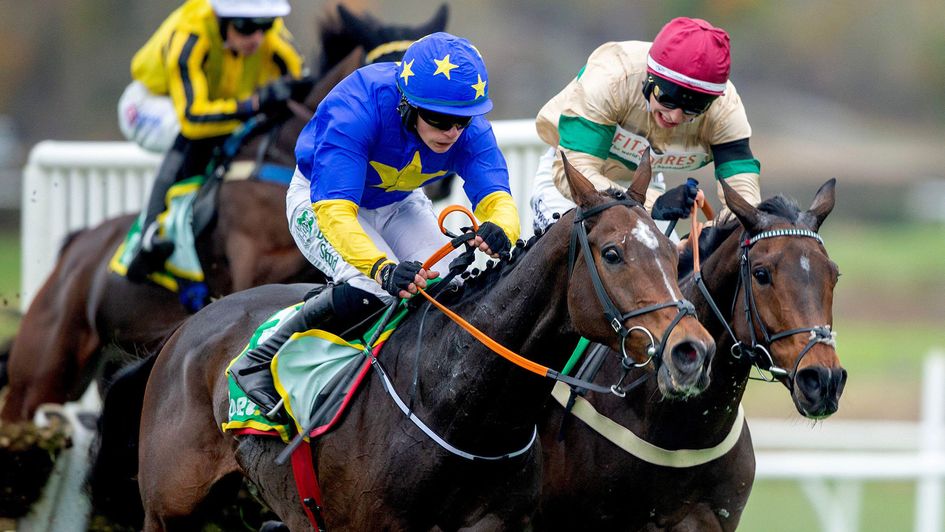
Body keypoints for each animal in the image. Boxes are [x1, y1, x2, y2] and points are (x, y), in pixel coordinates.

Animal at [125, 155, 712, 532]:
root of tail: (184, 331)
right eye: (612, 254)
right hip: (168, 512)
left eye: (671, 249)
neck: (457, 405)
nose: (691, 351)